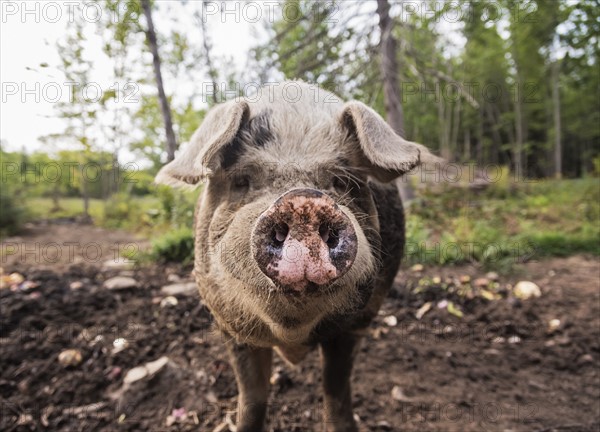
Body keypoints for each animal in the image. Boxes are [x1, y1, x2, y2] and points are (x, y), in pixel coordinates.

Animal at [155, 82, 436, 432]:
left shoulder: (354, 325)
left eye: (341, 181)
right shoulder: (228, 326)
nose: (303, 202)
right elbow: (252, 395)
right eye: (241, 180)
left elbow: (336, 386)